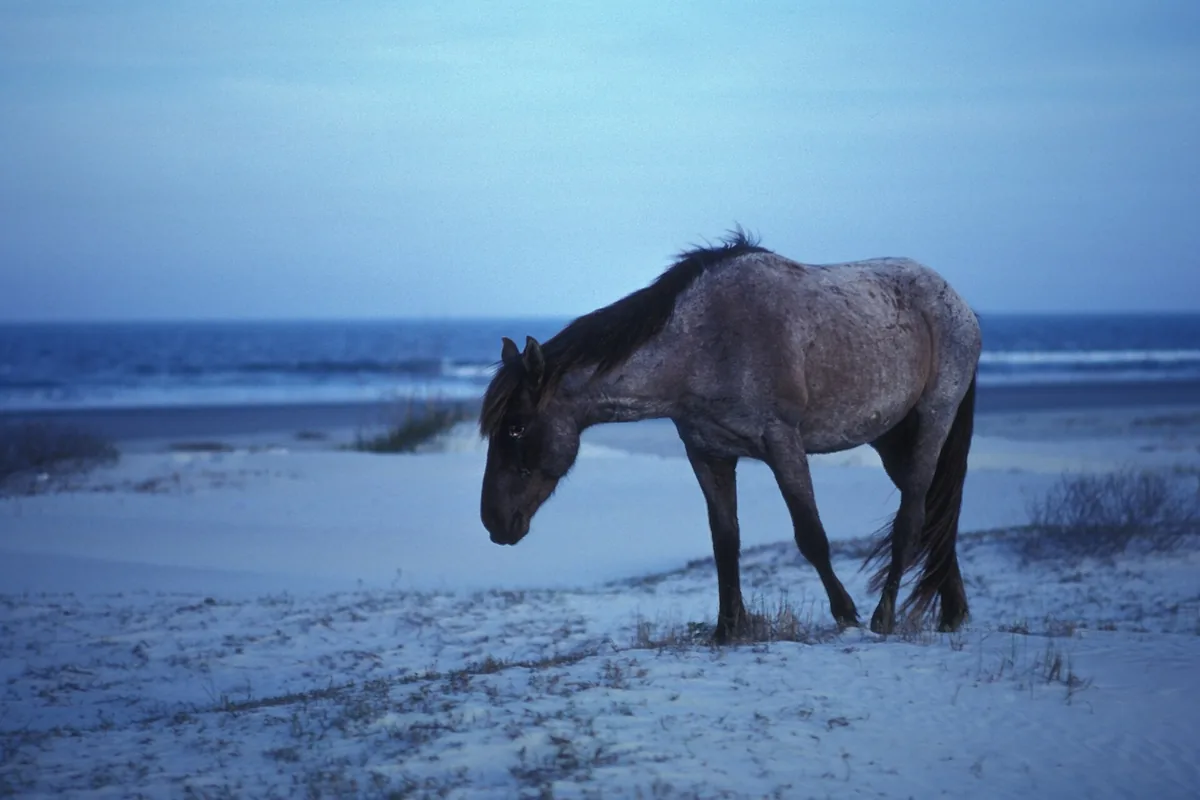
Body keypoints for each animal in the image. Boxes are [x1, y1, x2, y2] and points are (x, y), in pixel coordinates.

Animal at [479, 230, 981, 641]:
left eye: (516, 427)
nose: (494, 522)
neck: (700, 343)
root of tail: (959, 304)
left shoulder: (783, 444)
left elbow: (810, 535)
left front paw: (846, 615)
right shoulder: (708, 455)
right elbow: (725, 540)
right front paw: (727, 629)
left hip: (933, 419)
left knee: (913, 516)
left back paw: (885, 617)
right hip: (891, 438)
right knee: (934, 513)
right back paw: (953, 613)